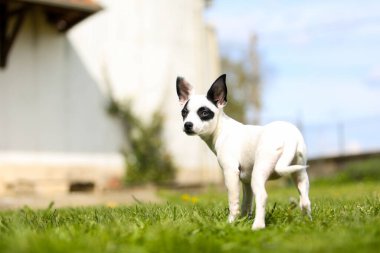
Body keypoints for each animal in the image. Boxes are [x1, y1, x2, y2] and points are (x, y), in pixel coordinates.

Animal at [177, 74, 310, 230]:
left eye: (204, 113)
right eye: (184, 113)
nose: (187, 125)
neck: (222, 129)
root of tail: (290, 137)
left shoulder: (230, 173)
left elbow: (233, 202)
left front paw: (231, 222)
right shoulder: (246, 181)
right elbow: (246, 204)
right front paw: (243, 220)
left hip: (259, 173)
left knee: (262, 196)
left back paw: (258, 226)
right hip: (300, 174)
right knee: (305, 200)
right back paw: (307, 222)